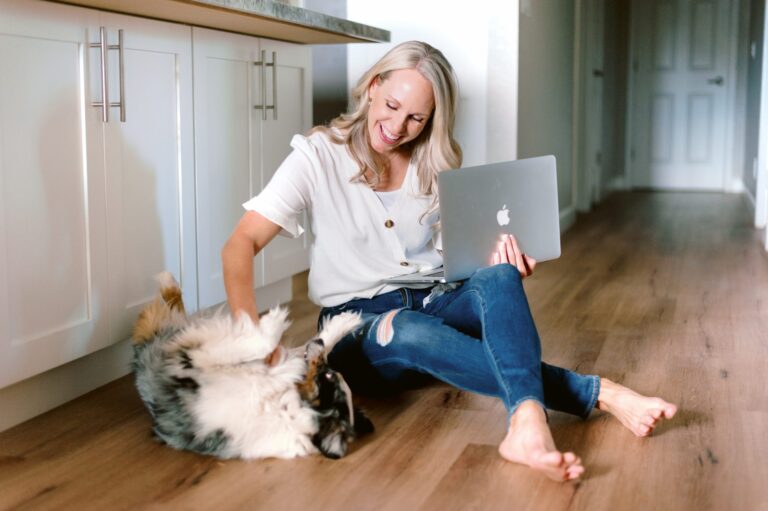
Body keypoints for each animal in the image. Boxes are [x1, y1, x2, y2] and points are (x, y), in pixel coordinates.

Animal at [131, 274, 372, 462]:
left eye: (330, 375)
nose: (318, 345)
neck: (284, 408)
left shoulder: (193, 358)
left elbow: (262, 342)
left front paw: (275, 319)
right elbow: (281, 348)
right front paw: (343, 323)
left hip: (161, 335)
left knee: (161, 313)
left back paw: (169, 283)